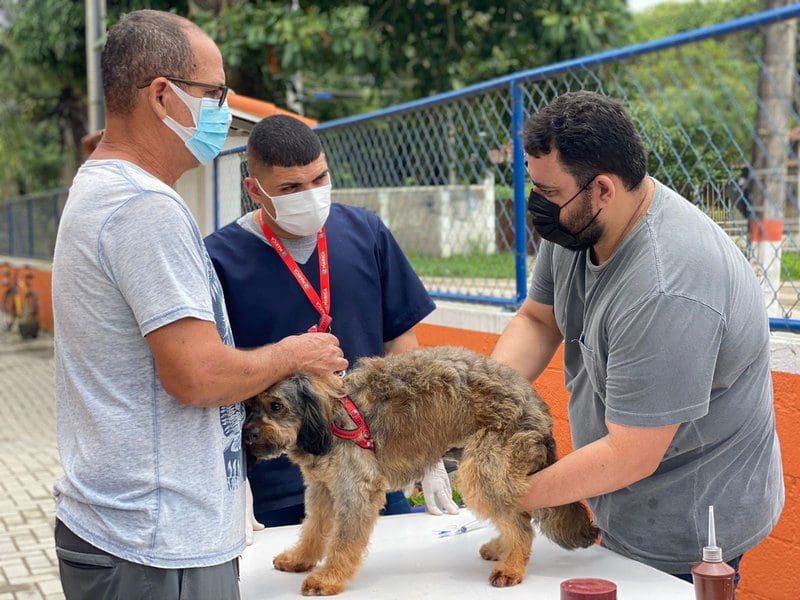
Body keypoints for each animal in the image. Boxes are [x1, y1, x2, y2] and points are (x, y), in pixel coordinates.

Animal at [247, 344, 596, 596]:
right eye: (248, 406)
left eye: (276, 406)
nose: (248, 434)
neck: (327, 419)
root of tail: (537, 406)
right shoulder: (322, 491)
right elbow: (313, 530)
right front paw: (300, 559)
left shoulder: (356, 492)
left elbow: (343, 542)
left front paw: (328, 578)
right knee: (517, 513)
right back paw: (503, 548)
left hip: (481, 470)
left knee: (520, 522)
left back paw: (512, 566)